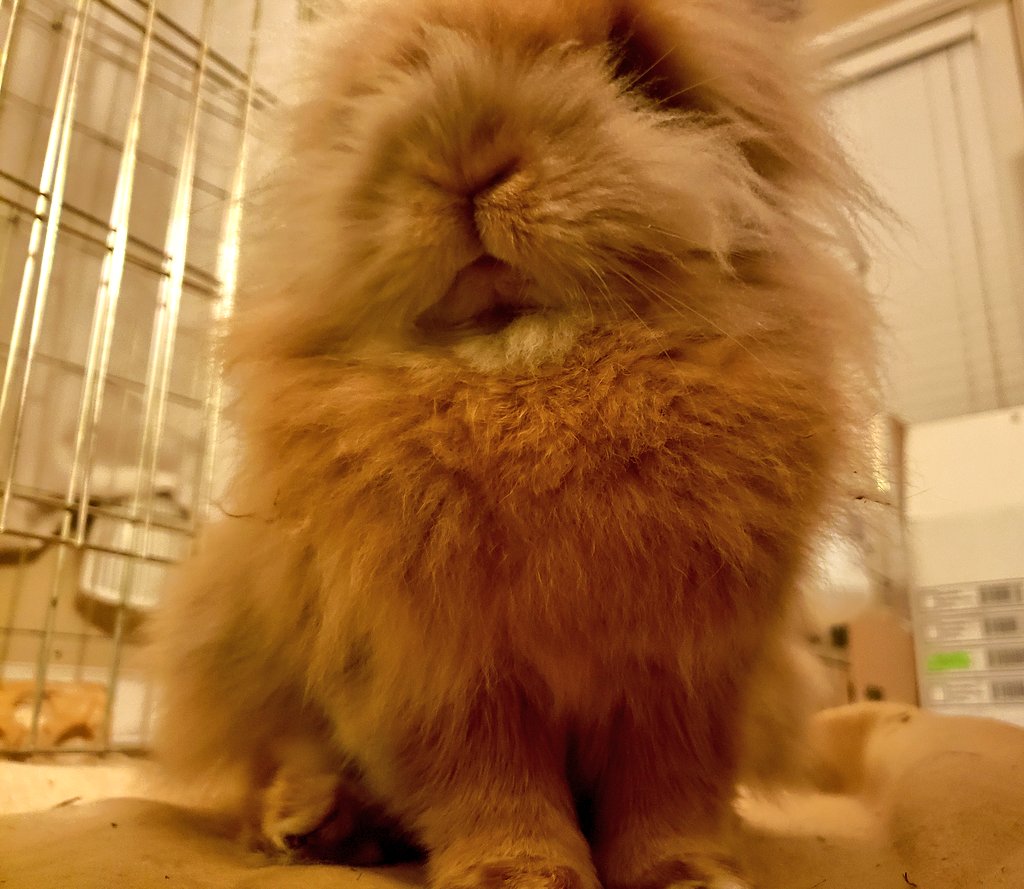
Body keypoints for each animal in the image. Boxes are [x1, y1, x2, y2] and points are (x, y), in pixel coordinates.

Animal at [150, 1, 878, 888]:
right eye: (402, 75)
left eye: (633, 67)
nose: (465, 159)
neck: (526, 375)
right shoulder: (444, 674)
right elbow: (494, 789)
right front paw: (520, 876)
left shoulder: (687, 678)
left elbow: (666, 793)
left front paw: (688, 874)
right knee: (280, 756)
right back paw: (312, 823)